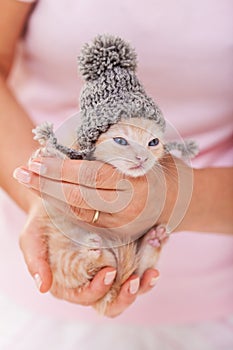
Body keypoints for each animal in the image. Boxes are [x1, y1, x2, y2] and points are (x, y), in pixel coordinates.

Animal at [32, 117, 168, 314]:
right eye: (120, 141)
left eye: (153, 142)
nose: (142, 158)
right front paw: (51, 152)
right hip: (62, 261)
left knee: (129, 272)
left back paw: (152, 240)